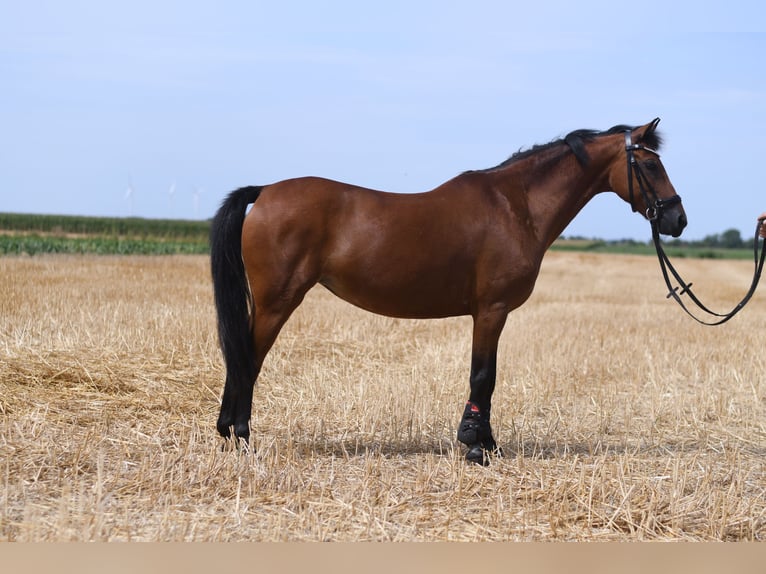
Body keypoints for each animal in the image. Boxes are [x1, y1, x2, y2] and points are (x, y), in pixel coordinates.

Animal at [209, 117, 687, 464]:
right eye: (649, 165)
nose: (677, 219)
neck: (515, 206)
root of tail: (264, 192)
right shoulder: (492, 310)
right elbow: (483, 376)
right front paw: (476, 446)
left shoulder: (491, 313)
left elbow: (487, 378)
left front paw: (487, 443)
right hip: (277, 301)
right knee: (247, 359)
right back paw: (241, 437)